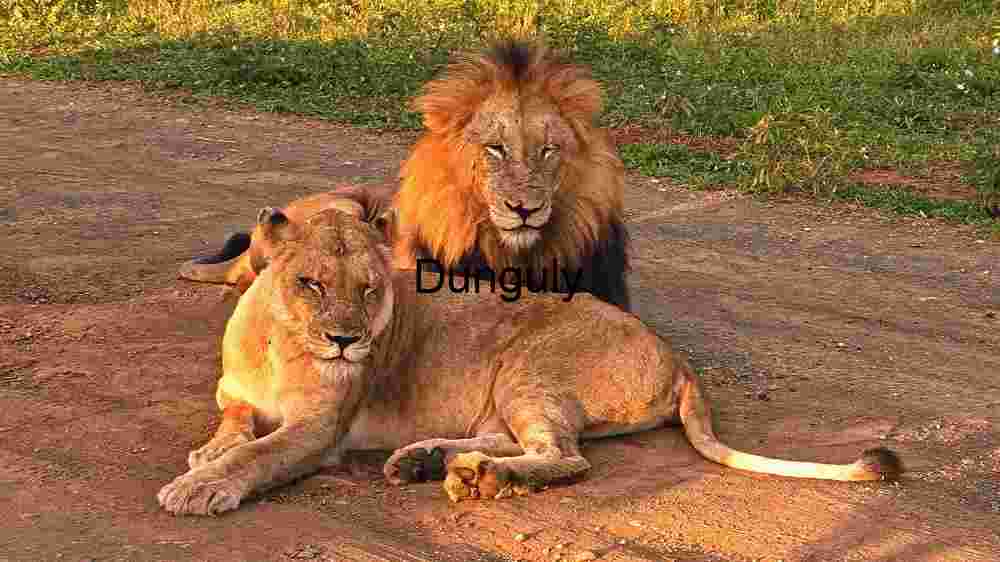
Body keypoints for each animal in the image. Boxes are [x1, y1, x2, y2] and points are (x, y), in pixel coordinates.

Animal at [157, 207, 903, 517]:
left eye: (369, 288)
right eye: (310, 283)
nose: (346, 341)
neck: (282, 343)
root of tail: (678, 357)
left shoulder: (320, 429)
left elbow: (262, 454)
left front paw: (200, 485)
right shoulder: (236, 391)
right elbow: (235, 420)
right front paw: (209, 451)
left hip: (529, 366)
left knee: (563, 457)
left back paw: (481, 480)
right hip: (505, 391)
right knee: (513, 442)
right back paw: (430, 462)